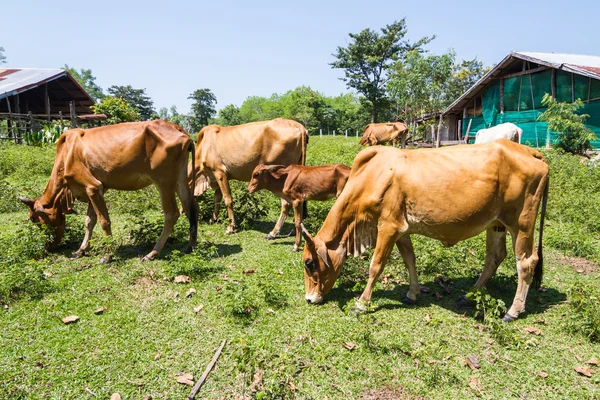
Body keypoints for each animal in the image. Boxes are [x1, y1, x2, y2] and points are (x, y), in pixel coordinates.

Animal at [19, 119, 198, 262]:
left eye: (35, 219)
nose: (47, 246)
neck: (66, 153)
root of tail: (179, 129)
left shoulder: (92, 186)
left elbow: (104, 222)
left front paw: (108, 255)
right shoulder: (97, 189)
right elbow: (89, 222)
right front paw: (80, 250)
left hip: (163, 182)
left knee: (172, 214)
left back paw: (153, 253)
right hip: (180, 179)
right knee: (191, 207)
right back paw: (190, 246)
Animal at [302, 138, 552, 322]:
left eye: (309, 263)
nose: (309, 299)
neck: (373, 176)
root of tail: (531, 152)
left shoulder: (388, 226)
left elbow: (376, 266)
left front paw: (362, 303)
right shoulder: (401, 230)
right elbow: (410, 260)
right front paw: (412, 294)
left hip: (521, 224)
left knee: (526, 262)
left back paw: (513, 311)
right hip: (496, 224)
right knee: (495, 257)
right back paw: (469, 295)